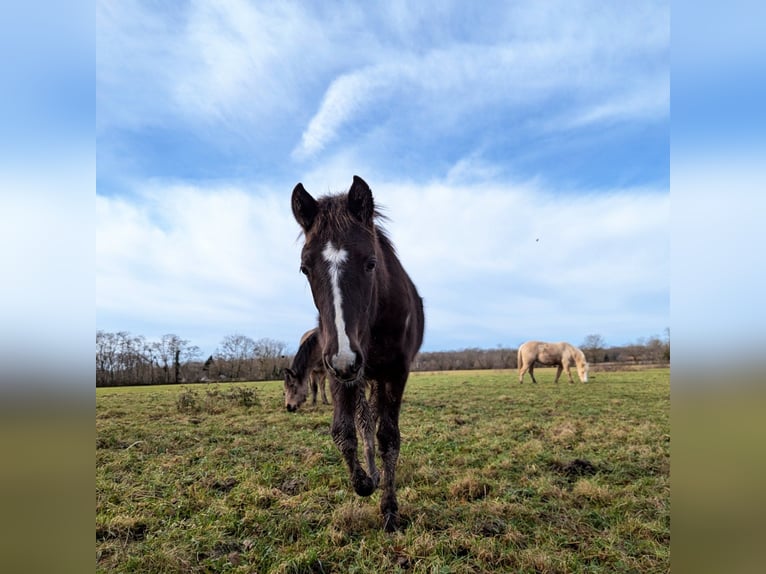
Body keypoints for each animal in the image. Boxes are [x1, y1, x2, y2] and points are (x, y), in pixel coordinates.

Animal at [294, 177, 426, 536]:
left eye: (370, 263)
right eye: (305, 268)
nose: (346, 356)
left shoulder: (394, 374)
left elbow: (389, 438)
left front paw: (390, 509)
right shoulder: (337, 371)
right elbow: (344, 431)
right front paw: (365, 482)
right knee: (364, 422)